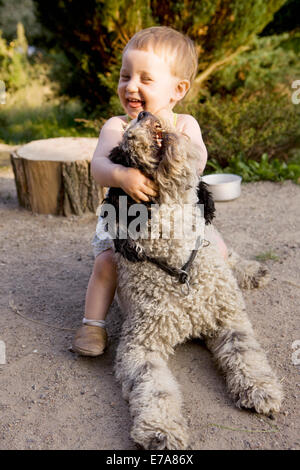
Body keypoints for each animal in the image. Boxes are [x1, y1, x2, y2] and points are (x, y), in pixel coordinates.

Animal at [103, 111, 284, 452]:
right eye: (120, 157)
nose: (143, 113)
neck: (180, 269)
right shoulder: (139, 346)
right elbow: (154, 388)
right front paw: (161, 430)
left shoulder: (229, 319)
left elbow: (246, 353)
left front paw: (259, 388)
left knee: (230, 255)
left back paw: (252, 271)